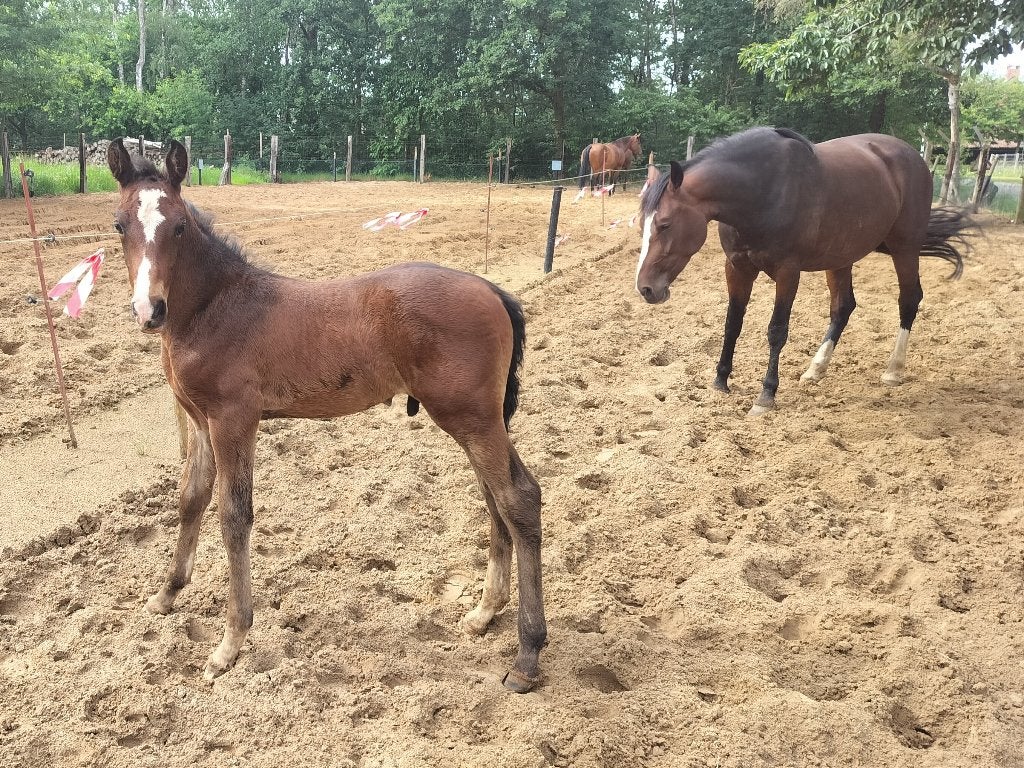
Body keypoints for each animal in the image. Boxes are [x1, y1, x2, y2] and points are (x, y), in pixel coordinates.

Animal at [106, 138, 547, 692]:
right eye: (120, 225)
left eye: (180, 225)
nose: (149, 310)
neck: (215, 308)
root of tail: (492, 290)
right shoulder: (200, 421)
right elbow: (190, 500)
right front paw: (166, 595)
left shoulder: (233, 420)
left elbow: (234, 516)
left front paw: (230, 643)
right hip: (477, 422)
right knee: (495, 498)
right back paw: (486, 612)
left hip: (472, 418)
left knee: (518, 498)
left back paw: (527, 654)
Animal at [635, 127, 973, 416]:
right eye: (643, 224)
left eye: (664, 224)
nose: (646, 288)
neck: (762, 191)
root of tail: (912, 157)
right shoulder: (737, 267)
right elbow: (732, 324)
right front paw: (720, 381)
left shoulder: (788, 272)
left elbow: (777, 331)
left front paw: (766, 396)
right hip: (841, 257)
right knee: (843, 307)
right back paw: (816, 368)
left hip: (905, 248)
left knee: (909, 300)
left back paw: (893, 371)